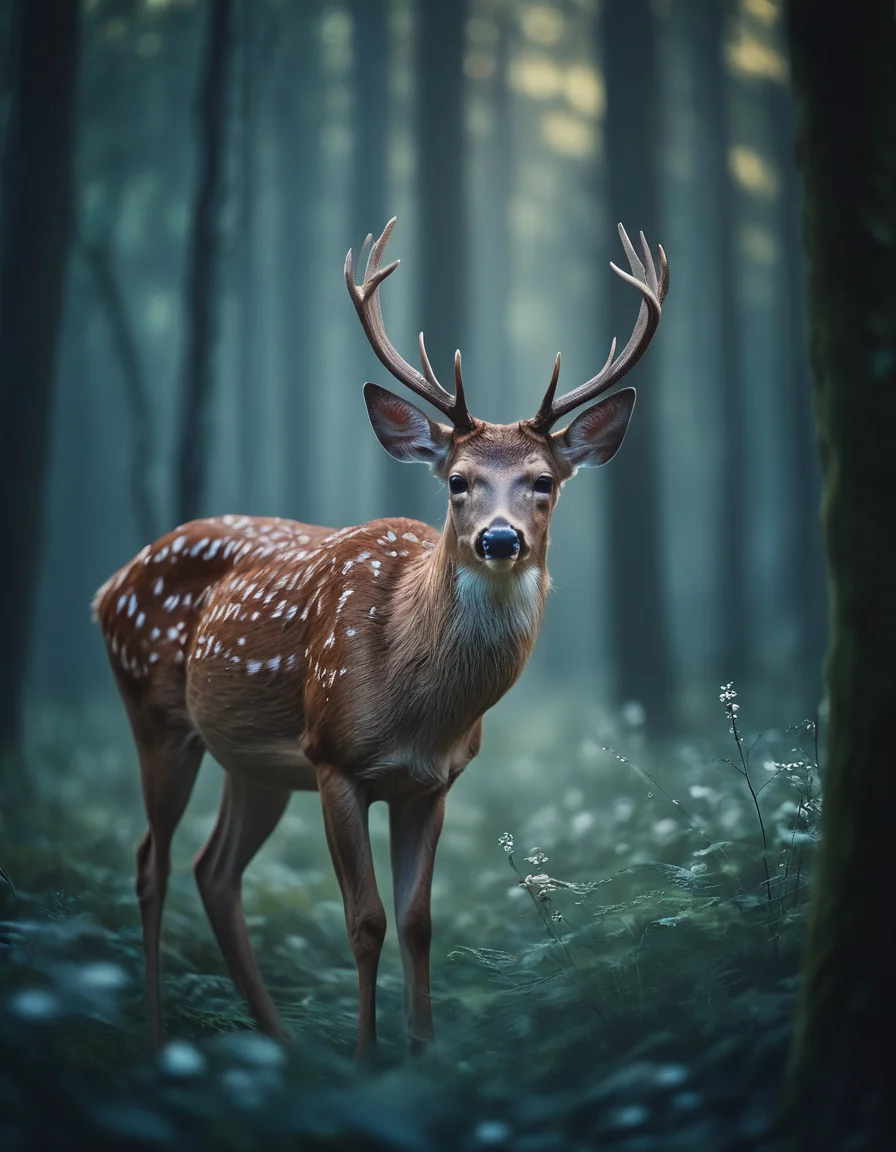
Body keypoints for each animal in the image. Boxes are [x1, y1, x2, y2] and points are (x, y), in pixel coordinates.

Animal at [92, 218, 667, 1058]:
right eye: (457, 480)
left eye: (543, 481)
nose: (499, 539)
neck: (417, 704)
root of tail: (107, 587)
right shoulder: (335, 758)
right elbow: (365, 923)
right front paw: (367, 1061)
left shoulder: (431, 783)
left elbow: (420, 922)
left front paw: (420, 1053)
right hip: (155, 717)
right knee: (149, 864)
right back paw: (160, 1038)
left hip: (254, 764)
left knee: (214, 870)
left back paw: (280, 1045)